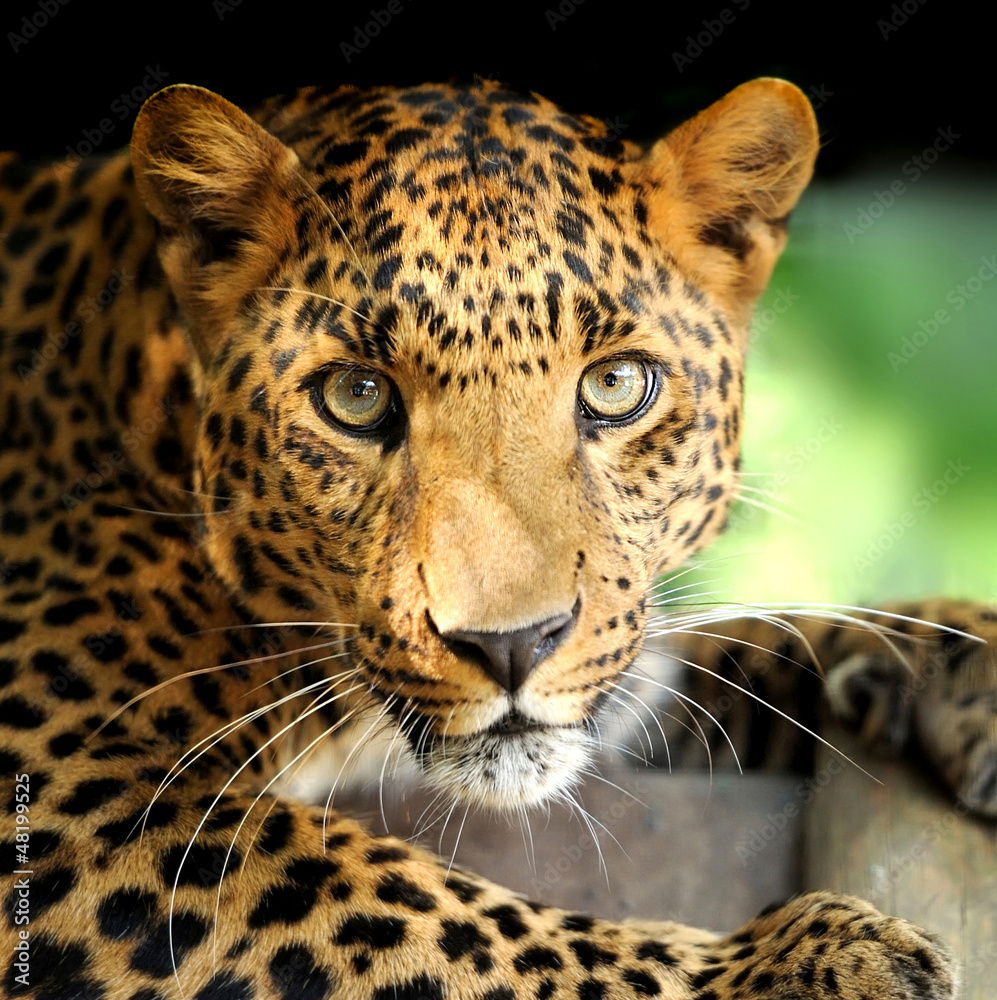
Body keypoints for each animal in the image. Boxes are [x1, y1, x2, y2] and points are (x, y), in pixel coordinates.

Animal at [1, 76, 995, 1000]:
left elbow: (755, 639)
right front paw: (797, 967)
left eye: (615, 386)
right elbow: (405, 909)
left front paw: (958, 661)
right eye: (356, 396)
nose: (510, 646)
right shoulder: (69, 777)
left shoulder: (627, 662)